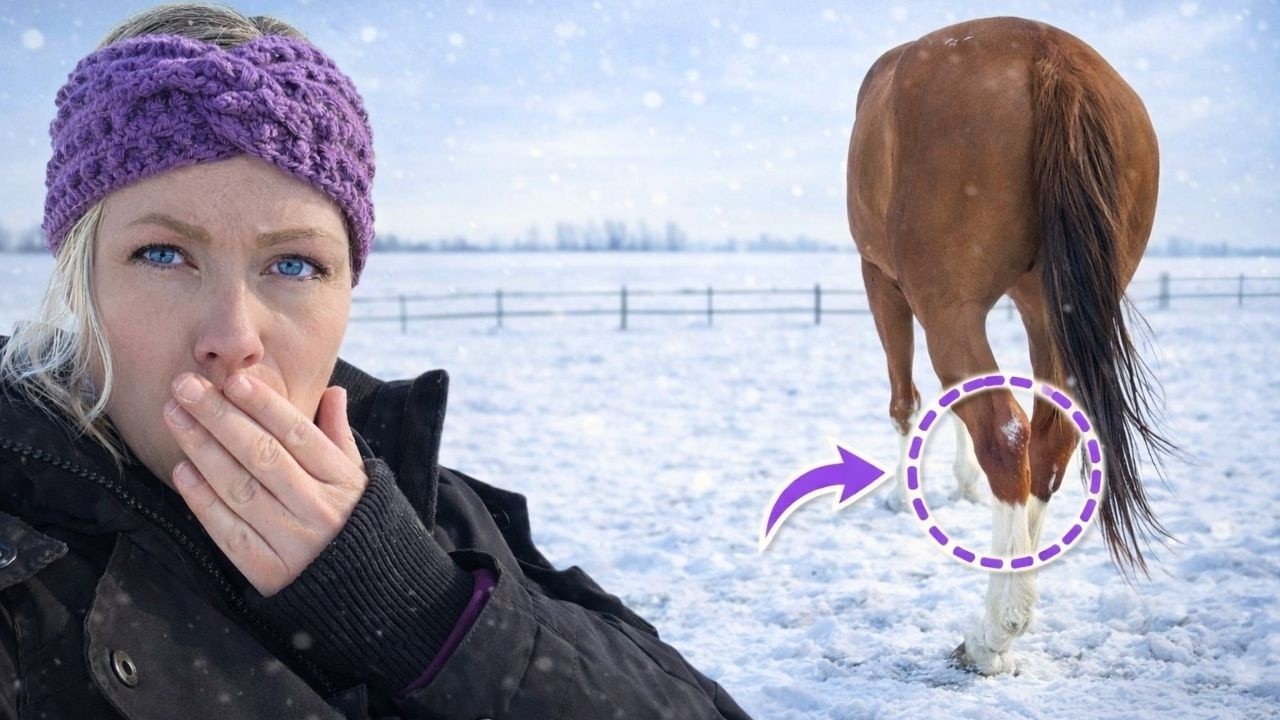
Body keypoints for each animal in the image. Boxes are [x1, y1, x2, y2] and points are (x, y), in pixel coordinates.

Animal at [846, 16, 1182, 675]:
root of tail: (1050, 54)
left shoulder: (883, 282)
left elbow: (907, 401)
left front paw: (901, 493)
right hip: (1050, 310)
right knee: (1049, 445)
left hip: (949, 308)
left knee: (1005, 436)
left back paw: (994, 630)